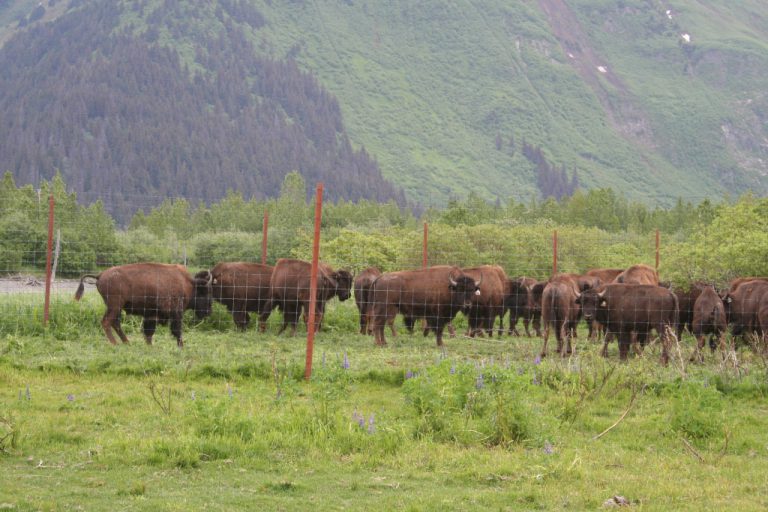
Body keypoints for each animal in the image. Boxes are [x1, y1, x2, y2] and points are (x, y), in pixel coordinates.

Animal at [74, 263, 213, 347]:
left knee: (115, 323)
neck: (188, 284)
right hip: (115, 305)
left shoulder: (151, 315)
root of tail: (100, 275)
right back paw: (115, 344)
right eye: (205, 293)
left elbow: (149, 332)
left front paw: (149, 346)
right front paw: (181, 347)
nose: (208, 312)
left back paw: (127, 343)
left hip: (115, 307)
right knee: (107, 322)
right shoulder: (176, 314)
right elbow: (177, 331)